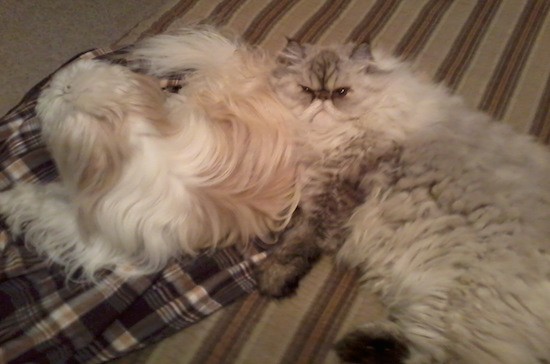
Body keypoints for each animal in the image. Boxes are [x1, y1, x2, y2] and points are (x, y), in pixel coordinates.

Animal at [0, 27, 302, 278]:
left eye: (60, 90)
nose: (50, 84)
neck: (128, 137)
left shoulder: (96, 237)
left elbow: (45, 207)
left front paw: (11, 201)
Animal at [258, 39, 550, 364]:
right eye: (307, 90)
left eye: (341, 92)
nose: (322, 98)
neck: (330, 140)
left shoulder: (331, 201)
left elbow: (294, 246)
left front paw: (272, 278)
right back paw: (361, 345)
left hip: (468, 302)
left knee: (446, 355)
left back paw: (358, 347)